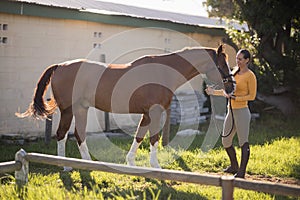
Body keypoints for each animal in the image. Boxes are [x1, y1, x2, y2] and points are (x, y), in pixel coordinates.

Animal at [15, 44, 234, 169]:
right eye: (222, 65)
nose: (231, 87)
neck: (163, 72)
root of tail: (60, 66)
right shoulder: (154, 112)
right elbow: (153, 138)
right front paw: (156, 166)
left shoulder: (147, 114)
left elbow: (139, 136)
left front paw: (131, 163)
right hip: (69, 110)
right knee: (62, 135)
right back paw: (66, 166)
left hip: (81, 109)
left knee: (78, 135)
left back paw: (86, 164)